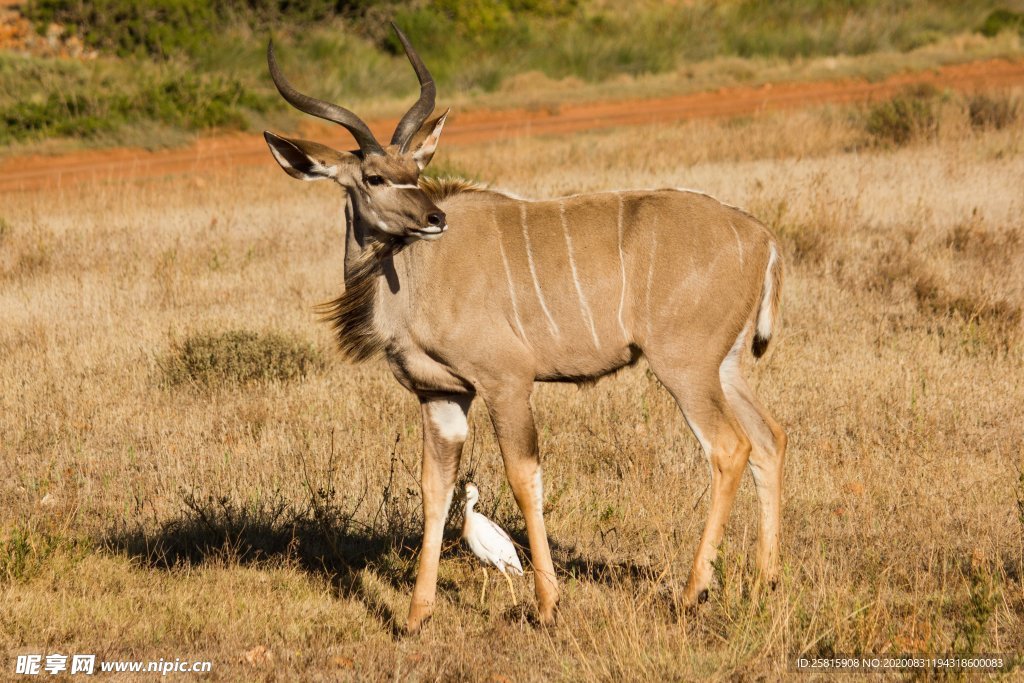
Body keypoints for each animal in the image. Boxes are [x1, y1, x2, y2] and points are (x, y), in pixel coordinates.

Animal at [262, 26, 782, 634]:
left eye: (416, 173)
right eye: (375, 177)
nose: (434, 218)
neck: (415, 275)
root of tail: (761, 236)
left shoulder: (505, 382)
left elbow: (523, 476)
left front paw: (548, 605)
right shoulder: (440, 395)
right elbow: (435, 490)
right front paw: (415, 618)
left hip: (684, 367)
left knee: (729, 447)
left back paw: (692, 591)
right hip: (724, 367)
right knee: (769, 439)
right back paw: (765, 581)